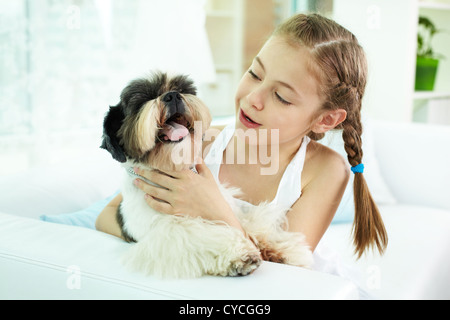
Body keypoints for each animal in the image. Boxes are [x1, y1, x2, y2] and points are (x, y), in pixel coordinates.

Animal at [101, 72, 312, 278]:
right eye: (142, 100)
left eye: (181, 88)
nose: (172, 96)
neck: (174, 169)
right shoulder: (167, 233)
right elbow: (201, 235)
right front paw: (239, 255)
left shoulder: (223, 204)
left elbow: (247, 222)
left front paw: (283, 248)